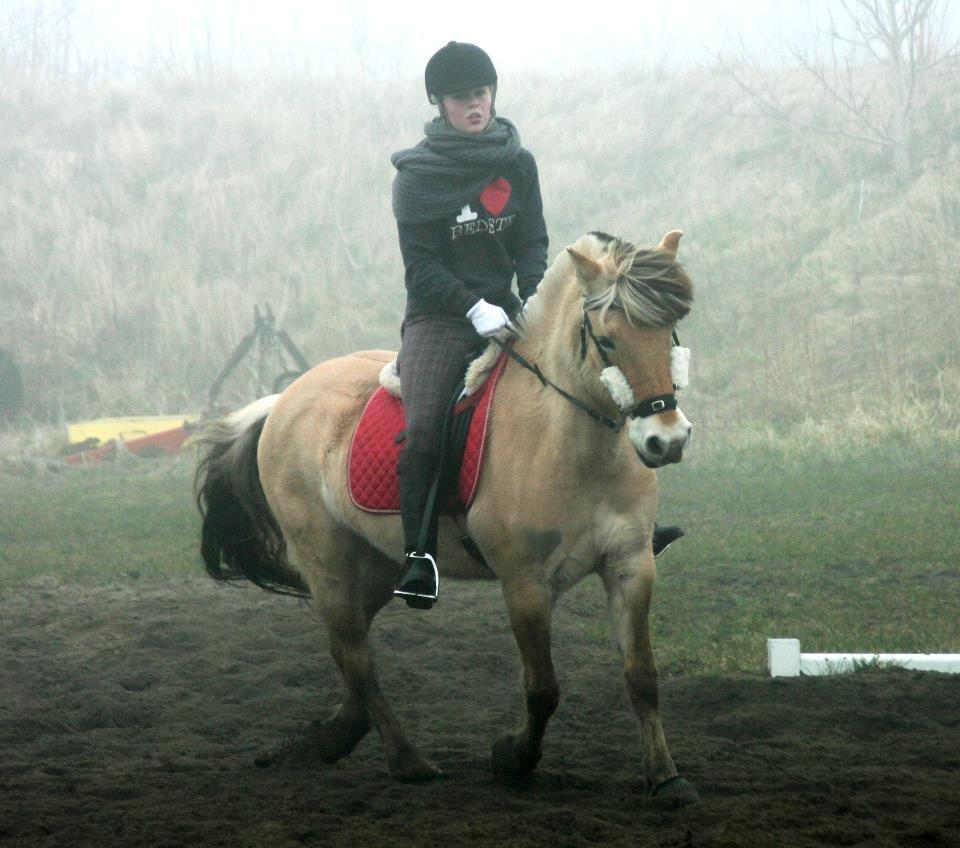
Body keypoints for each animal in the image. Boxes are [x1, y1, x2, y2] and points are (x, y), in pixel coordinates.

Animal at [199, 229, 700, 804]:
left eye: (670, 331)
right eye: (609, 341)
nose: (666, 440)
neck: (574, 445)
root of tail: (285, 398)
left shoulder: (630, 565)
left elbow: (642, 676)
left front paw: (666, 777)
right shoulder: (525, 583)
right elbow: (543, 688)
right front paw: (513, 759)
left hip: (375, 566)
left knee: (345, 648)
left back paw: (331, 738)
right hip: (327, 561)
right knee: (359, 657)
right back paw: (407, 761)